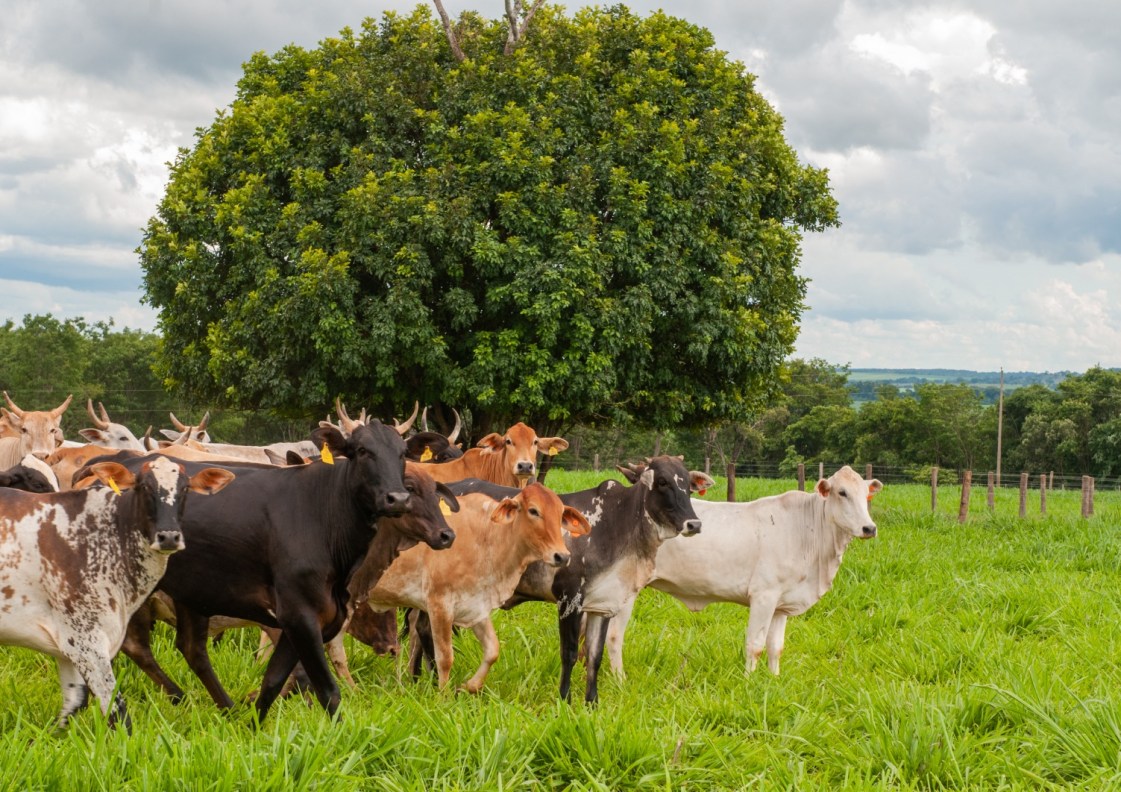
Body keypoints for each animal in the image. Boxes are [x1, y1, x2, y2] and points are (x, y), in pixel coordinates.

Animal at [363, 483, 591, 694]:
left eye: (561, 514)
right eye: (533, 511)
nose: (562, 556)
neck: (486, 537)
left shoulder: (476, 604)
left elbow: (492, 650)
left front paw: (468, 686)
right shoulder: (439, 604)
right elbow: (445, 657)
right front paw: (443, 697)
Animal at [437, 454, 708, 703]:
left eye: (687, 483)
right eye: (662, 481)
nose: (694, 524)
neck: (618, 523)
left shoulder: (602, 605)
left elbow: (594, 656)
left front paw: (592, 703)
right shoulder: (569, 599)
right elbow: (569, 653)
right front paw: (565, 700)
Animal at [605, 468, 883, 676]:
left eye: (866, 495)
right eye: (842, 492)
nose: (869, 528)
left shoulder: (781, 605)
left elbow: (775, 647)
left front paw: (774, 679)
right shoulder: (763, 596)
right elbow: (755, 645)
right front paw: (749, 682)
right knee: (615, 636)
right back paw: (620, 680)